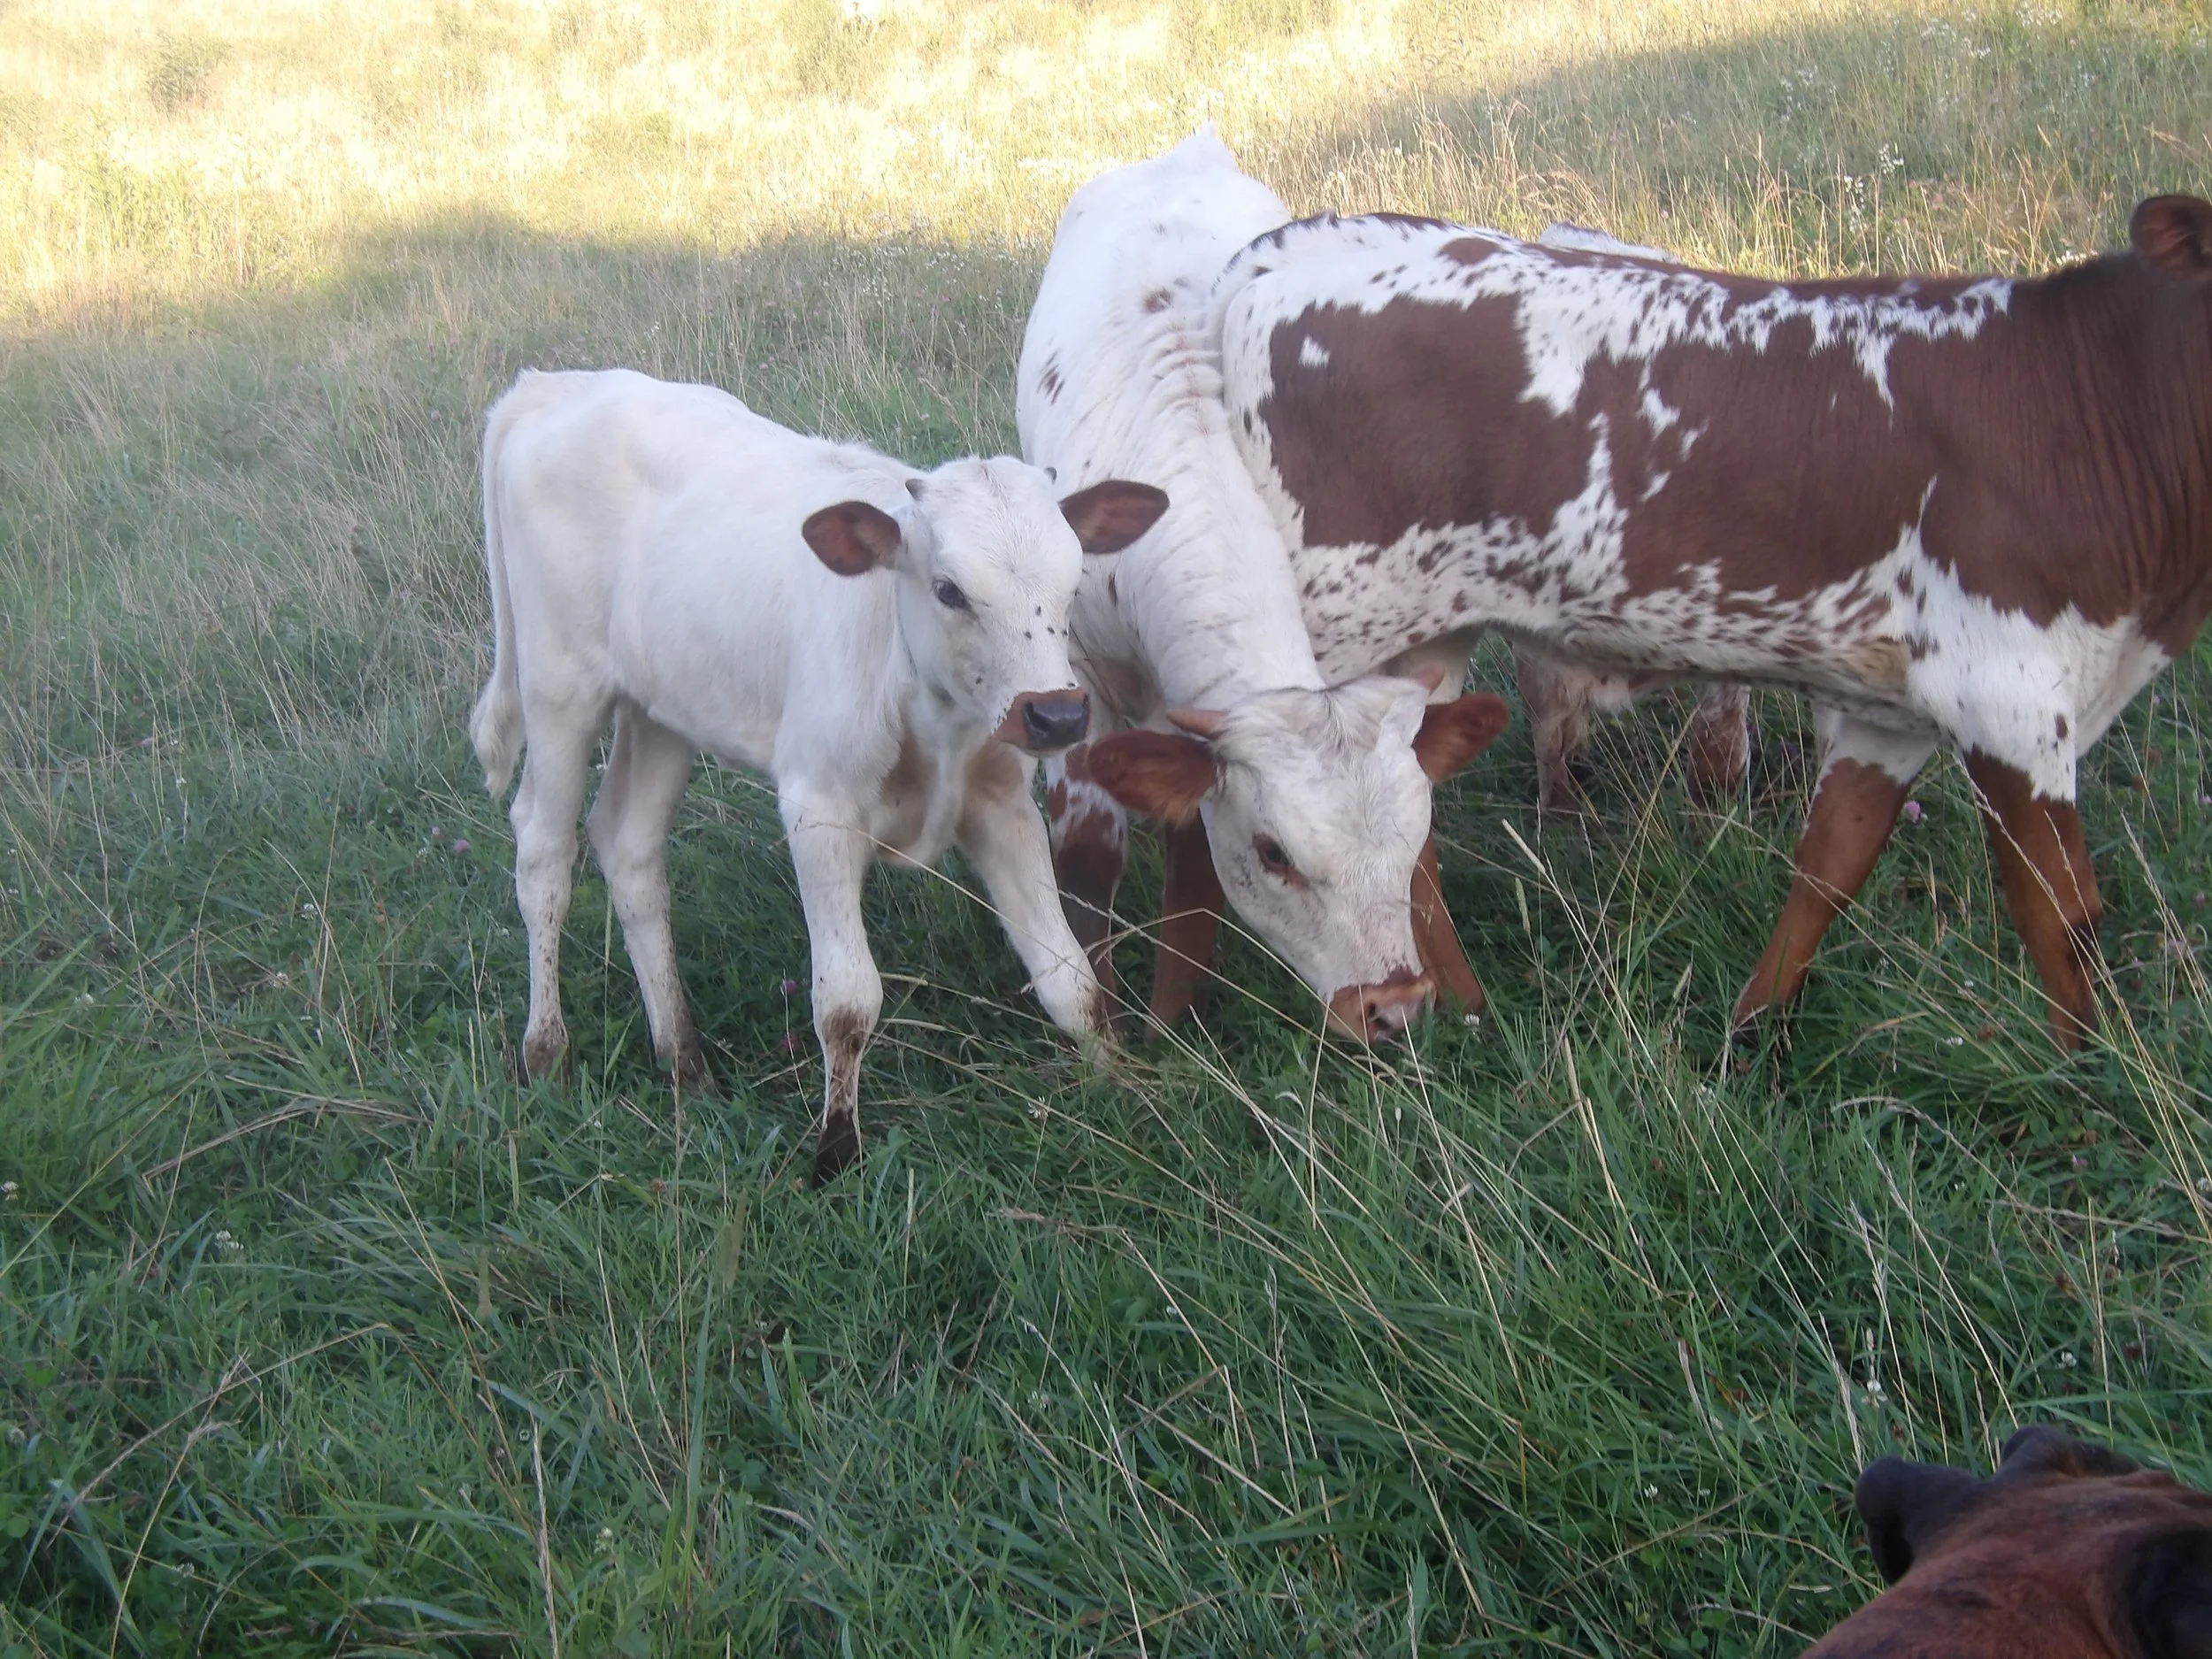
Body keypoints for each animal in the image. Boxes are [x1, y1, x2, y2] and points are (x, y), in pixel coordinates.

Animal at [468, 368, 1167, 1182]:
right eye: (950, 589)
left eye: (1072, 579)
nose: (1055, 715)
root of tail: (553, 384)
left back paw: (684, 1061)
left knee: (629, 847)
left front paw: (1123, 1088)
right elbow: (847, 999)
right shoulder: (819, 807)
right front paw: (835, 1148)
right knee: (544, 853)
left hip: (664, 707)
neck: (931, 713)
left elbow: (1068, 975)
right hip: (559, 688)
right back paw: (545, 1051)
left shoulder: (1001, 804)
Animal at [1016, 130, 1511, 1040]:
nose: (1392, 1005)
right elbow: (1093, 852)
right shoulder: (1076, 679)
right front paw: (1124, 1028)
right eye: (1277, 854)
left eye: (1409, 837)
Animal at [1212, 194, 2212, 1048]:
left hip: (1422, 644)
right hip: (1318, 645)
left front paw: (1749, 1037)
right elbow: (2061, 909)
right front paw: (2090, 1074)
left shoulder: (1892, 713)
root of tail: (1287, 250)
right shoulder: (2008, 700)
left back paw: (1462, 1006)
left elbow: (1828, 870)